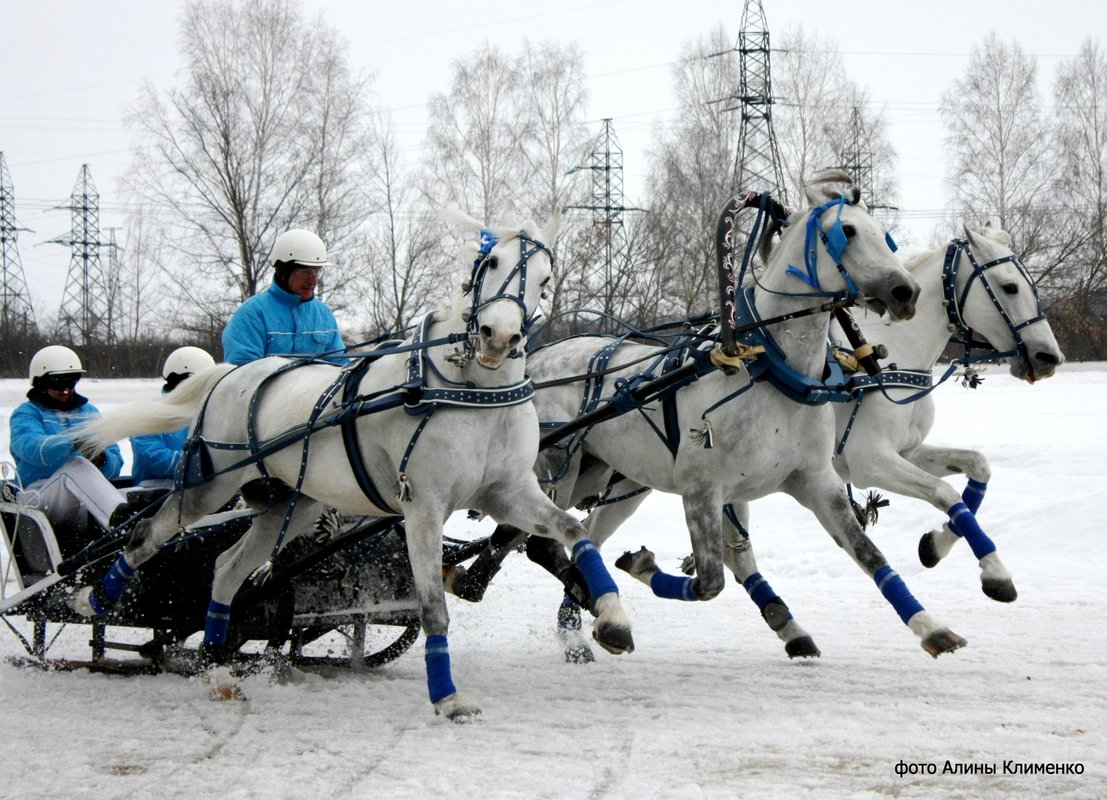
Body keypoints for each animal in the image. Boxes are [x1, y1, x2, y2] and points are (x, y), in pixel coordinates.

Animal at [73, 206, 637, 721]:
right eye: (491, 260)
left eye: (544, 278)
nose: (499, 336)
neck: (470, 392)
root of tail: (230, 374)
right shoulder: (423, 508)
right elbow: (433, 609)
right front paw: (447, 697)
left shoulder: (508, 493)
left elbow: (574, 531)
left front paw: (612, 618)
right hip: (207, 485)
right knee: (146, 535)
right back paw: (93, 601)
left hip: (290, 505)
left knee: (228, 569)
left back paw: (216, 667)